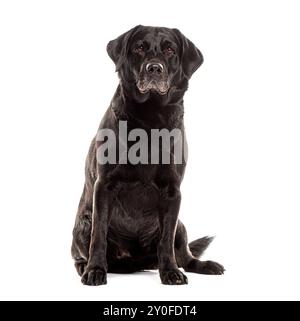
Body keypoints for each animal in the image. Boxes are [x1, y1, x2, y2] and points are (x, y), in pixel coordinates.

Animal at [71, 25, 224, 284]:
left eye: (170, 50)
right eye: (139, 47)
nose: (154, 68)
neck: (151, 119)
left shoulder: (173, 192)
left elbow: (166, 242)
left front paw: (170, 271)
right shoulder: (104, 186)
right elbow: (98, 236)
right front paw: (95, 270)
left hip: (181, 225)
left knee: (185, 254)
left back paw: (203, 265)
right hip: (82, 223)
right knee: (81, 251)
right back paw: (85, 266)